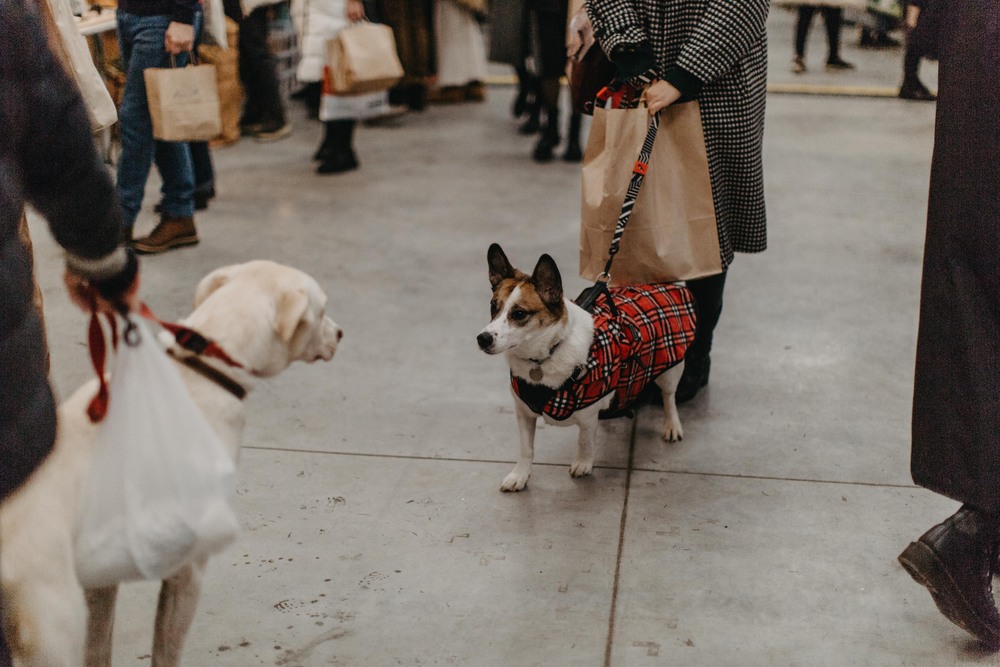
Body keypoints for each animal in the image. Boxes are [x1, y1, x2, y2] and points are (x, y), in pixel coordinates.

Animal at [0, 260, 344, 667]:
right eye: (322, 310)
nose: (341, 333)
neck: (200, 367)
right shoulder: (187, 570)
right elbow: (165, 652)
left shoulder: (102, 582)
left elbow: (99, 647)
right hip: (52, 620)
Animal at [476, 244, 696, 490]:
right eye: (493, 306)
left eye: (520, 314)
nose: (482, 338)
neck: (546, 355)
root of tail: (661, 283)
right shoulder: (524, 413)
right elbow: (526, 449)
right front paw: (520, 475)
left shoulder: (587, 416)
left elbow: (584, 441)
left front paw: (583, 462)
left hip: (670, 368)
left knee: (669, 397)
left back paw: (672, 425)